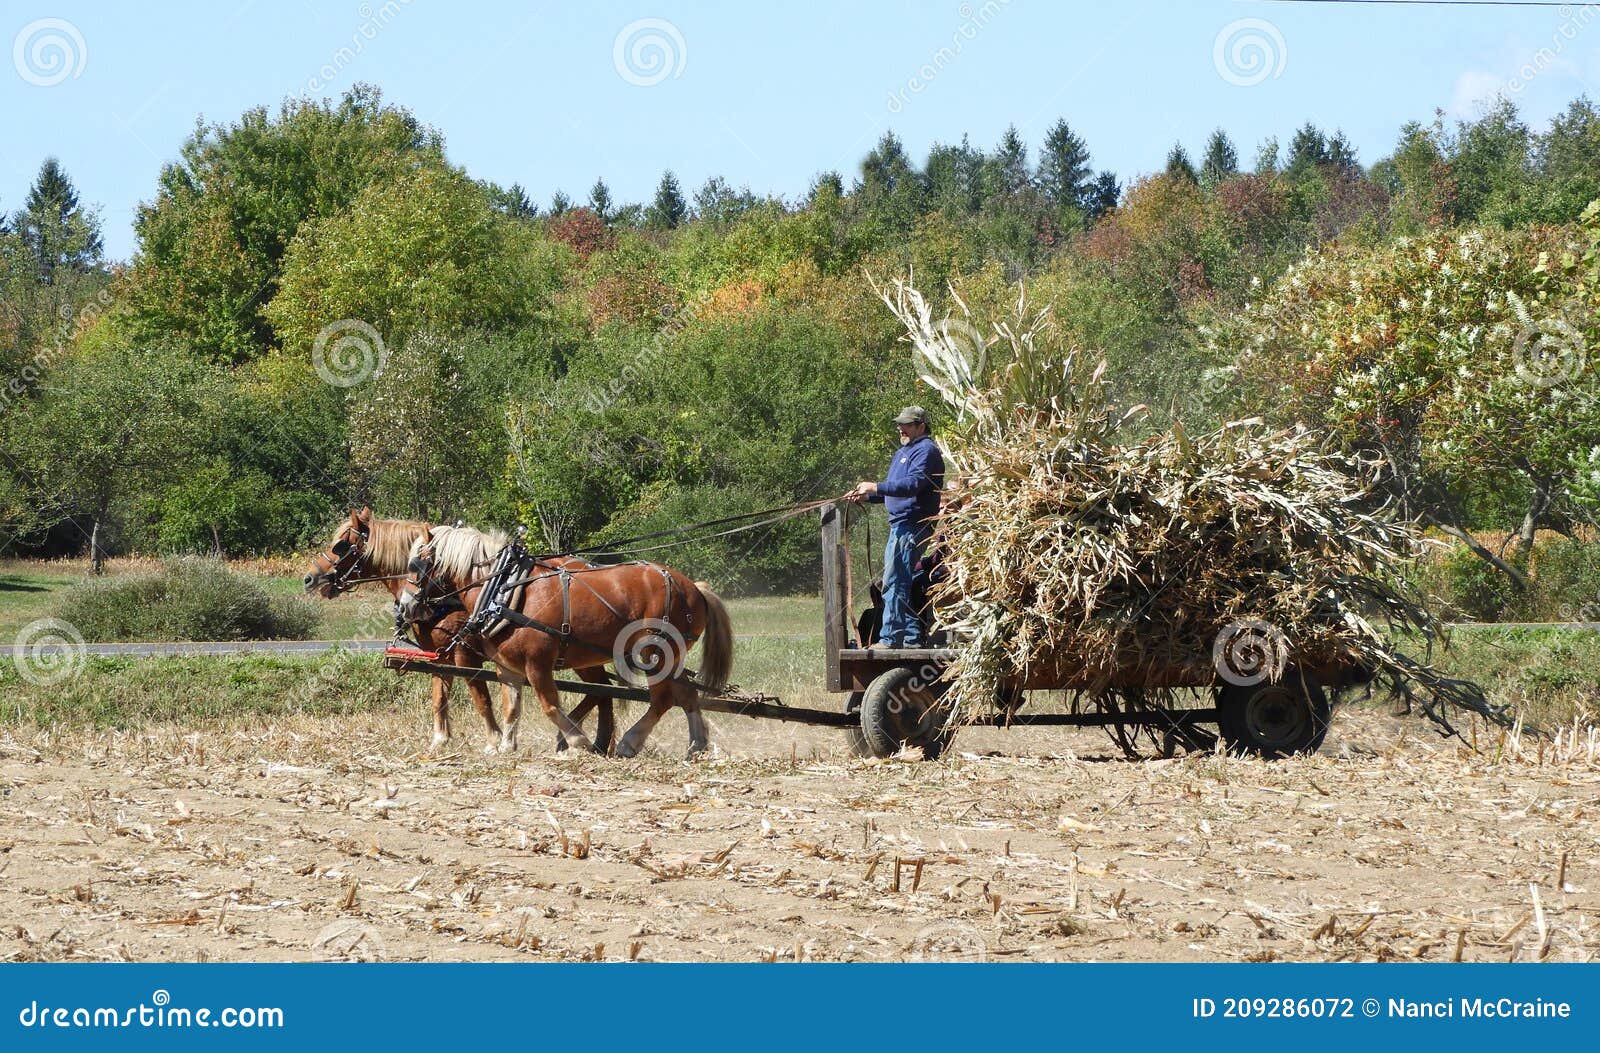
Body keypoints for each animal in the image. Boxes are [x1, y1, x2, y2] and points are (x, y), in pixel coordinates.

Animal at [302, 508, 614, 754]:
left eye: (341, 545)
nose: (309, 578)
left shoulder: (465, 655)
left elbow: (481, 699)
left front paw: (493, 740)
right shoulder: (441, 656)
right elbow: (439, 697)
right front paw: (441, 739)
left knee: (599, 690)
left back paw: (575, 737)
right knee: (601, 690)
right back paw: (591, 739)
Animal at [397, 524, 730, 758]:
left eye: (415, 566)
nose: (403, 607)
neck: (504, 589)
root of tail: (695, 588)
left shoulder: (537, 664)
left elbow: (549, 705)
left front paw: (576, 740)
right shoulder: (508, 668)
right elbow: (511, 707)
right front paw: (506, 745)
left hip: (656, 653)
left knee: (662, 700)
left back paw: (629, 742)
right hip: (667, 659)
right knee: (687, 695)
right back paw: (696, 744)